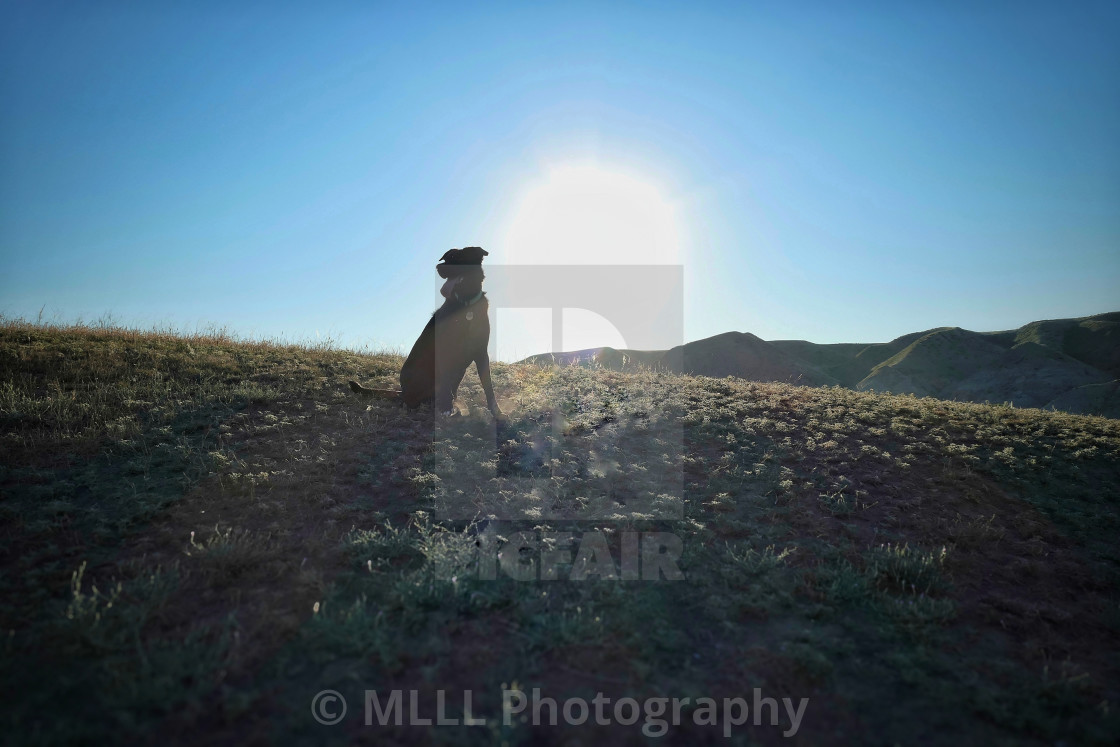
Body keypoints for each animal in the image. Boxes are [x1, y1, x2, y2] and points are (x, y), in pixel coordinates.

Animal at [349, 246, 504, 418]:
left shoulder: (481, 352)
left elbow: (488, 386)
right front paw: (446, 408)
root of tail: (402, 391)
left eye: (458, 258)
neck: (464, 304)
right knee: (414, 398)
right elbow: (445, 382)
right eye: (446, 258)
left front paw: (497, 411)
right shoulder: (444, 350)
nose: (438, 268)